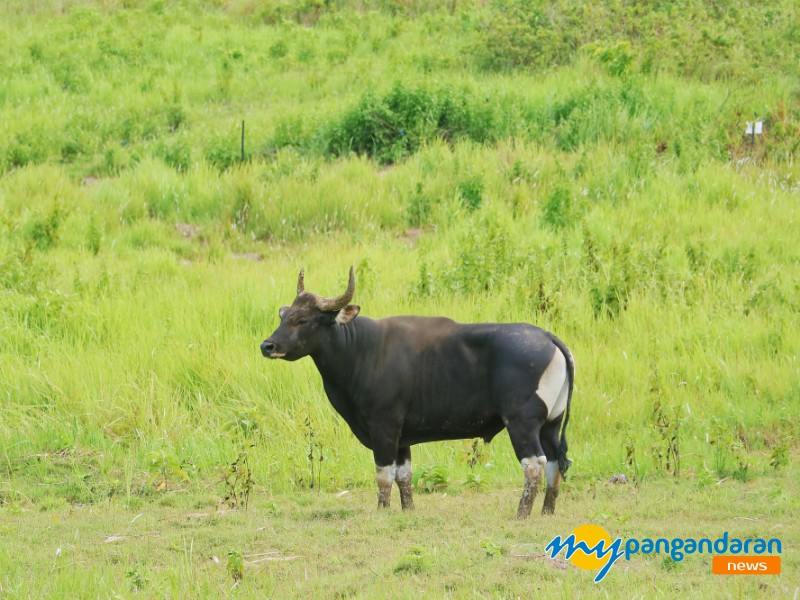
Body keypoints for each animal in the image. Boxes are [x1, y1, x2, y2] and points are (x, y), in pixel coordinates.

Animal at [262, 264, 576, 516]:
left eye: (303, 319)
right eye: (283, 314)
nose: (268, 346)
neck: (360, 350)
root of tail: (549, 338)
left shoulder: (384, 427)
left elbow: (383, 475)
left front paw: (382, 511)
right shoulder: (403, 437)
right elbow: (404, 475)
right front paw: (408, 509)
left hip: (521, 423)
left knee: (534, 464)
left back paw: (522, 513)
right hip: (550, 424)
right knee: (554, 463)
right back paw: (547, 511)